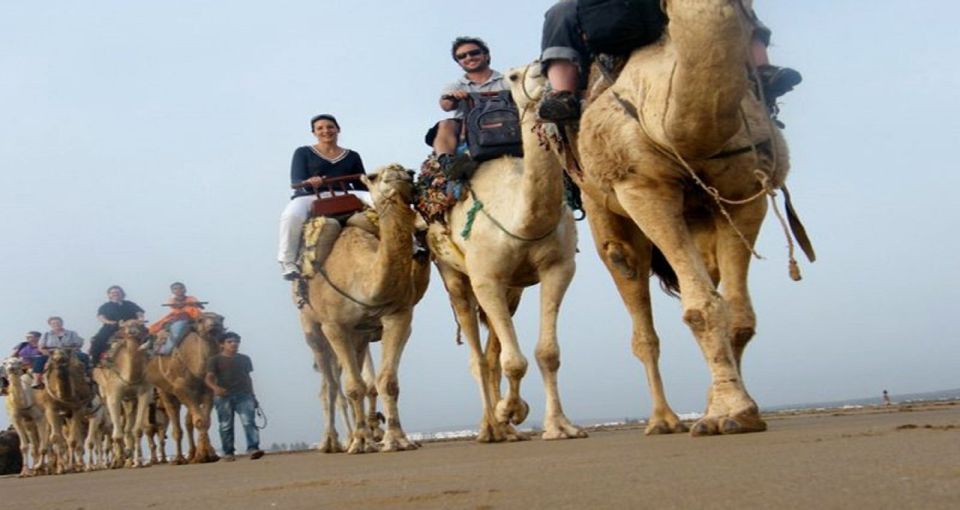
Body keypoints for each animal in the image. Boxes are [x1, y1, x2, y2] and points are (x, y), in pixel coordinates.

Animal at [94, 320, 156, 468]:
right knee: (114, 428)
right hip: (106, 398)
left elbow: (136, 430)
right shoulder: (114, 395)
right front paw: (119, 459)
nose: (131, 332)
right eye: (125, 326)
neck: (129, 376)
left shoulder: (144, 394)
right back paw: (117, 460)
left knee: (128, 428)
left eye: (140, 325)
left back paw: (129, 458)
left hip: (129, 401)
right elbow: (116, 434)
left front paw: (136, 461)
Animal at [145, 312, 224, 464]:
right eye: (200, 319)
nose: (214, 325)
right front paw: (203, 456)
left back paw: (190, 454)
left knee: (187, 423)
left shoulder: (208, 391)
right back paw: (179, 458)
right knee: (175, 422)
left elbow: (204, 421)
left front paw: (209, 454)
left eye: (221, 318)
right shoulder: (183, 389)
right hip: (164, 391)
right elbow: (199, 421)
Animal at [294, 164, 426, 454]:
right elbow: (352, 387)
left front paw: (396, 439)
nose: (401, 173)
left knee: (358, 382)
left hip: (359, 336)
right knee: (330, 388)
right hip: (313, 330)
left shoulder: (398, 316)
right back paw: (332, 442)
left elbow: (386, 382)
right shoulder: (334, 326)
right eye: (374, 176)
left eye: (408, 171)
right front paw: (361, 442)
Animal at [426, 64, 584, 442]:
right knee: (477, 356)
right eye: (512, 76)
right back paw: (490, 428)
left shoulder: (558, 268)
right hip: (453, 274)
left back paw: (506, 429)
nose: (542, 71)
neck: (521, 219)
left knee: (493, 351)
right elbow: (512, 360)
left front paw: (558, 426)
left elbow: (546, 353)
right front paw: (509, 411)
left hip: (512, 289)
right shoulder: (486, 277)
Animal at [568, 0, 800, 438]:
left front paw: (730, 411)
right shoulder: (641, 185)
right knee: (628, 278)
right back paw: (662, 420)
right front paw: (731, 408)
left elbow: (738, 314)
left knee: (710, 273)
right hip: (602, 207)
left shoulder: (747, 188)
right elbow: (700, 308)